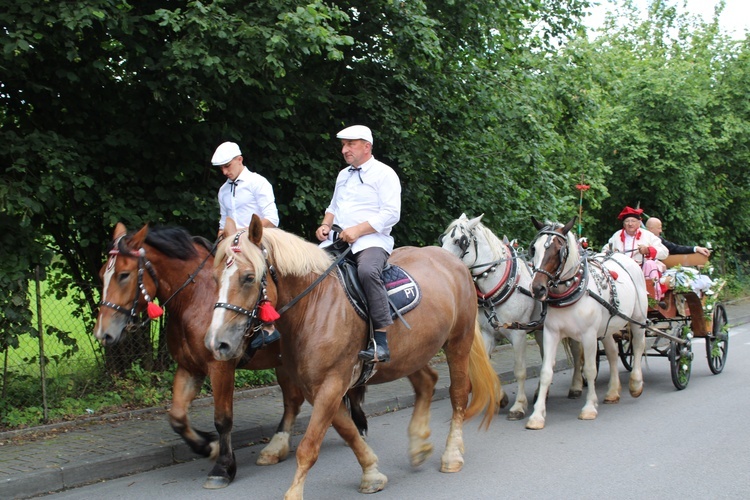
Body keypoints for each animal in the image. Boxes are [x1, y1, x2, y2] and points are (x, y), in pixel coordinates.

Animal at [92, 224, 308, 488]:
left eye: (124, 274)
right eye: (102, 274)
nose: (103, 333)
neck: (194, 299)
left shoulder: (220, 367)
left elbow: (223, 418)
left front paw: (223, 467)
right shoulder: (189, 368)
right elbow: (177, 417)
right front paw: (208, 446)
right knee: (293, 401)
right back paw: (276, 448)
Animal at [204, 216, 506, 500]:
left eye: (248, 277)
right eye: (215, 278)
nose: (217, 343)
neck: (315, 305)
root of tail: (453, 263)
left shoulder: (332, 384)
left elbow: (309, 446)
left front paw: (294, 493)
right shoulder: (318, 388)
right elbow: (347, 431)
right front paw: (371, 473)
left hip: (458, 343)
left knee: (458, 393)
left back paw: (452, 454)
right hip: (409, 354)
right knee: (427, 382)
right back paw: (419, 445)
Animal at [440, 213, 548, 420]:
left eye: (460, 241)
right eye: (442, 238)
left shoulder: (518, 334)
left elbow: (520, 370)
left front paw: (518, 406)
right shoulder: (488, 334)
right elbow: (486, 367)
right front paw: (501, 398)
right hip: (540, 329)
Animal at [524, 217, 648, 432]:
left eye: (559, 250)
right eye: (534, 248)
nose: (537, 288)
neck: (571, 291)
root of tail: (624, 257)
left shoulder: (589, 335)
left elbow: (590, 369)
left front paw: (589, 407)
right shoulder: (551, 333)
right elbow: (546, 371)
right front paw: (537, 416)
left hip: (638, 320)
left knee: (639, 347)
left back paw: (635, 384)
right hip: (607, 328)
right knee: (613, 354)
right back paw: (613, 392)